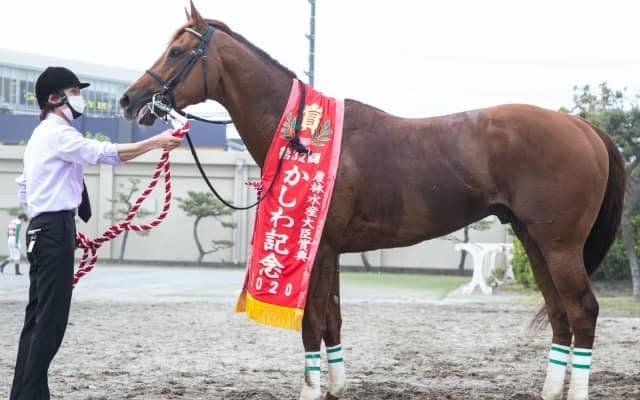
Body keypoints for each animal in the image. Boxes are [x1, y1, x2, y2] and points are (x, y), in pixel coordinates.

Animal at [119, 3, 625, 400]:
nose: (130, 99)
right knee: (560, 314)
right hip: (534, 241)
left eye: (178, 52)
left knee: (583, 311)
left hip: (559, 246)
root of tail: (583, 127)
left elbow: (312, 322)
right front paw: (336, 386)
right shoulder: (331, 251)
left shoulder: (320, 247)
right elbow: (333, 321)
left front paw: (311, 390)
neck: (302, 134)